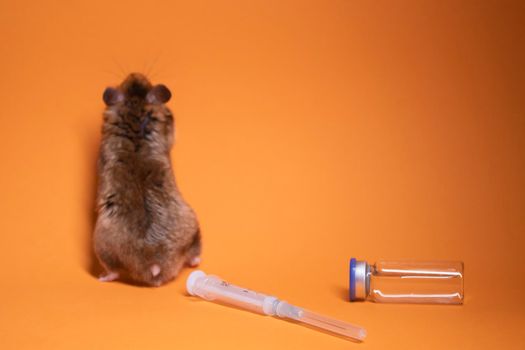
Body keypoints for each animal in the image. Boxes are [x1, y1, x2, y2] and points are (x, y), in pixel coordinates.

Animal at [93, 72, 202, 286]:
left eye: (136, 80)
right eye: (129, 81)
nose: (135, 74)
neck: (135, 111)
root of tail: (154, 264)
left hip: (102, 247)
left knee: (114, 271)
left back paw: (102, 277)